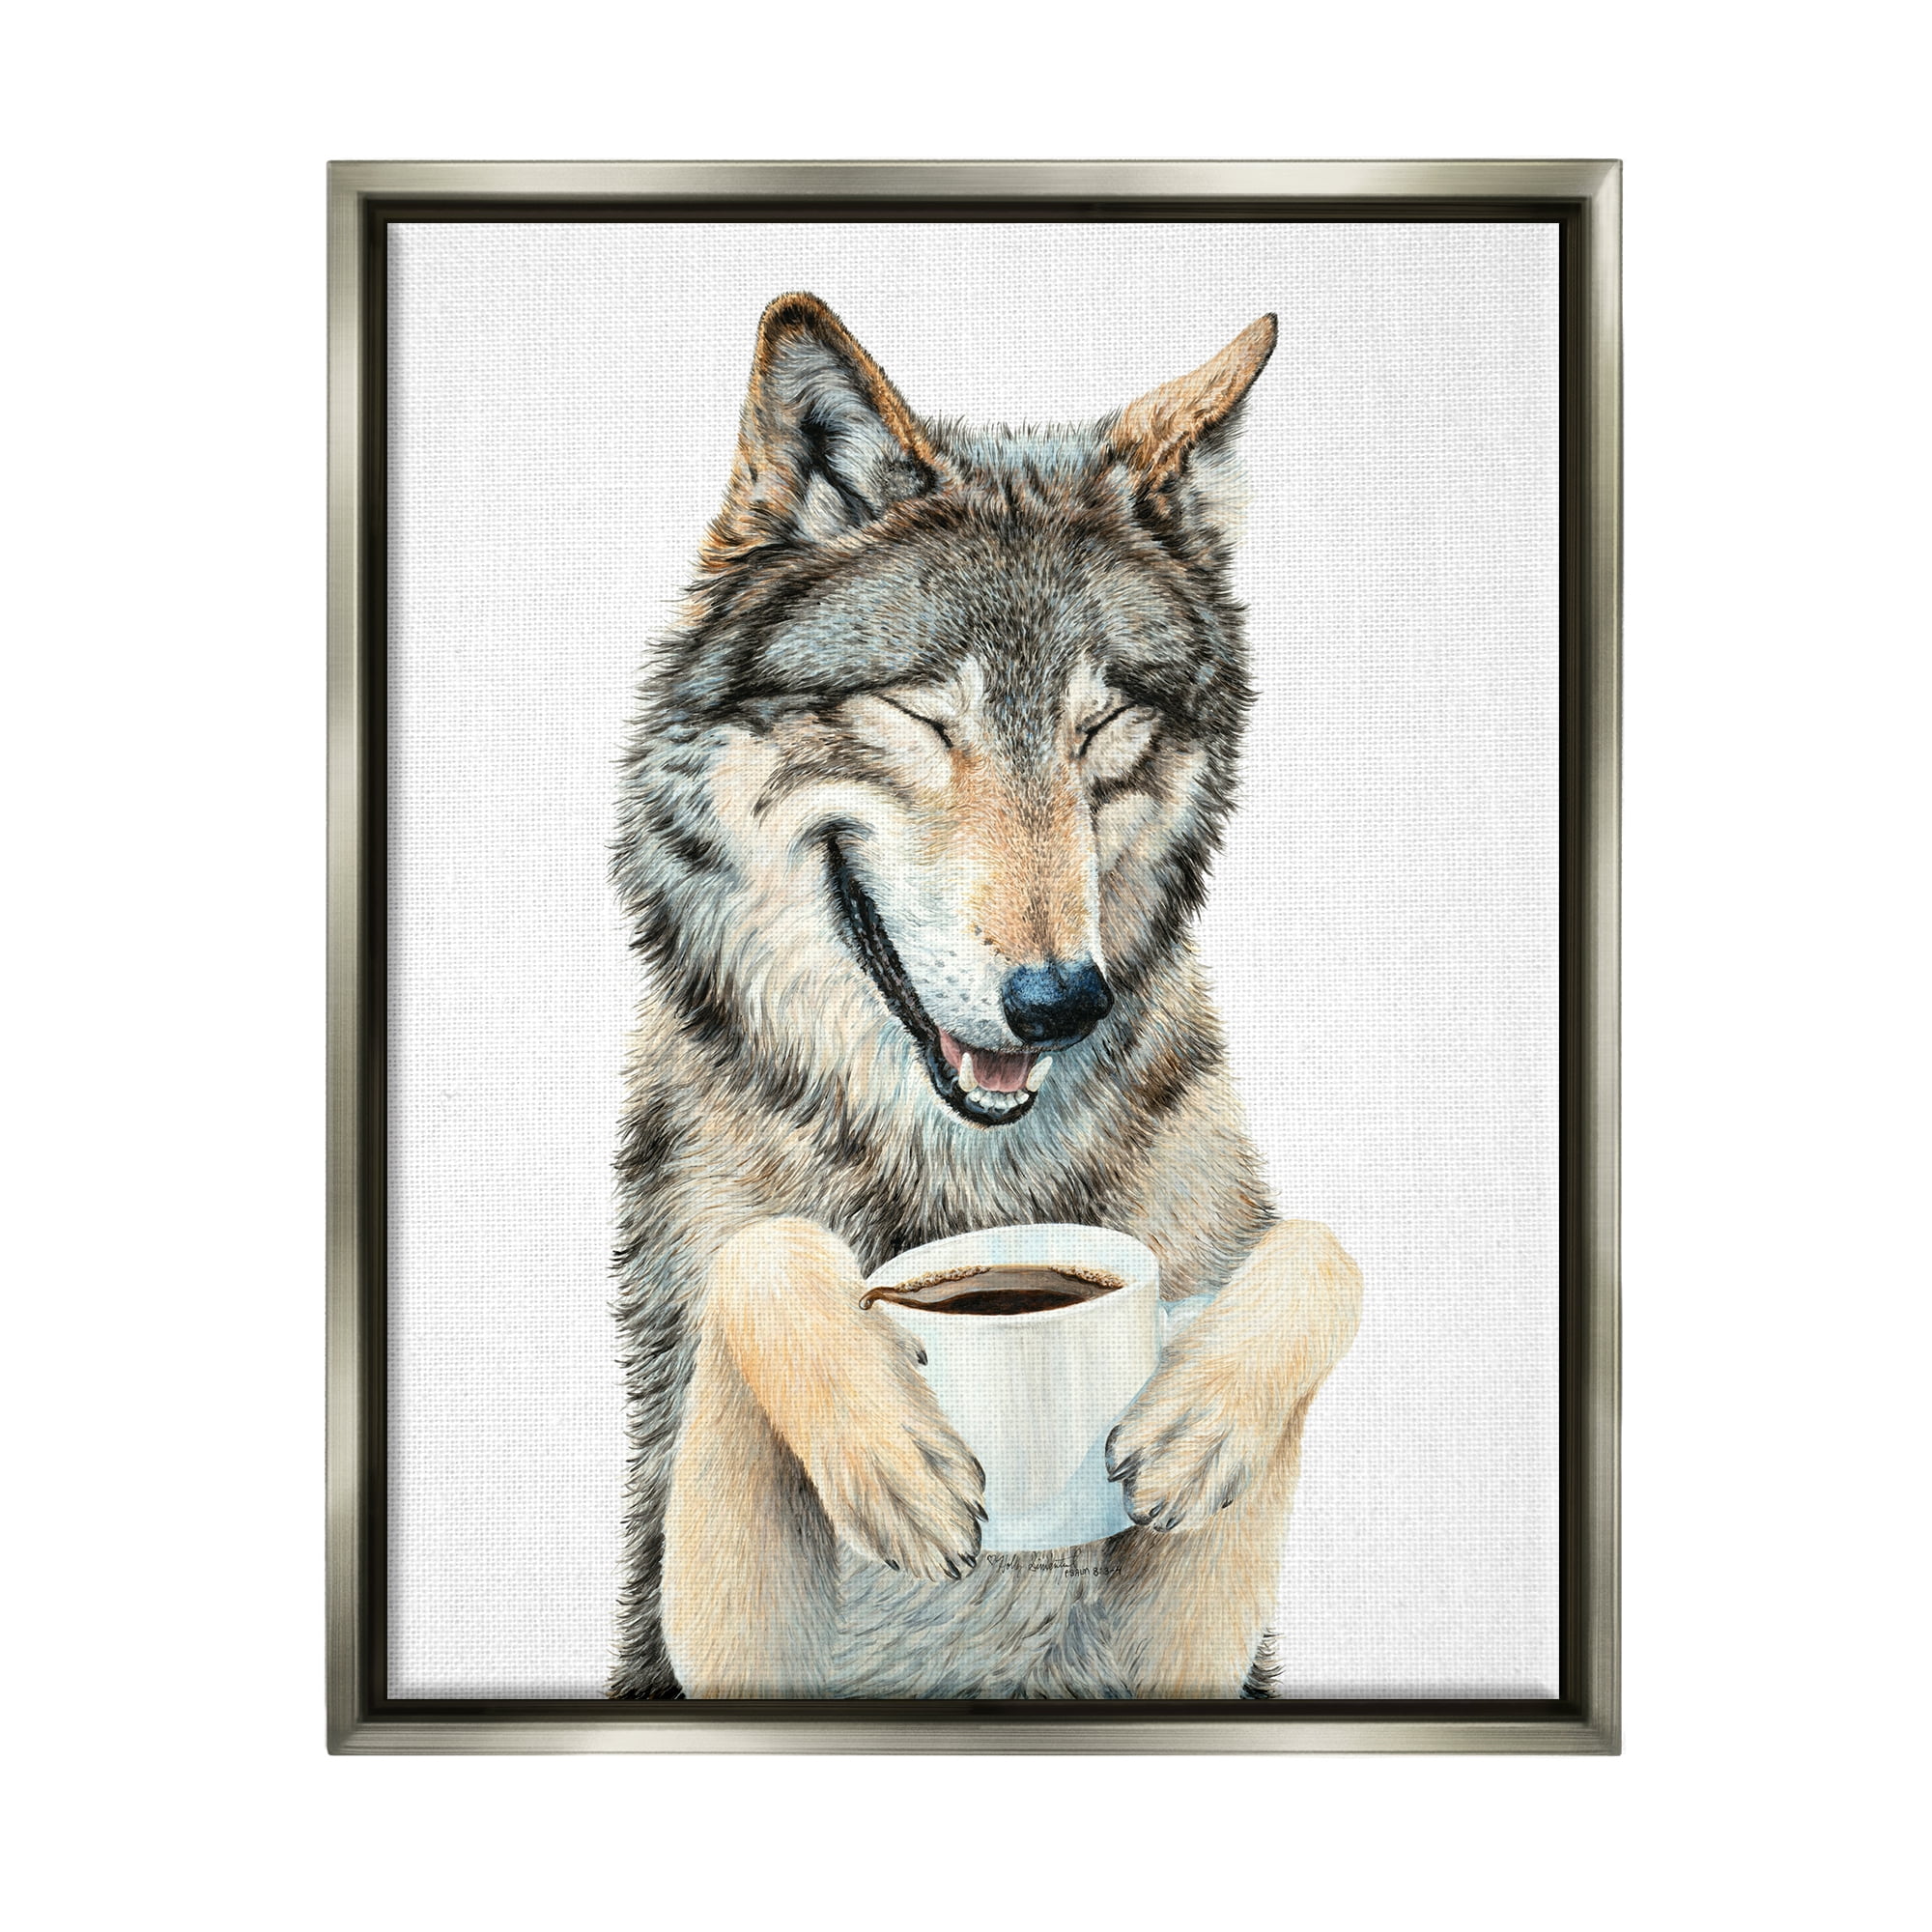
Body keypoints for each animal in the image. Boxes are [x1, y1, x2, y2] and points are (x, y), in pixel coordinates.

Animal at [608, 293, 1362, 1700]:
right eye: (922, 718)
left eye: (1100, 729)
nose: (1061, 1002)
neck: (968, 1181)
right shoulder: (705, 1619)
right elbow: (763, 1248)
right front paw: (889, 1450)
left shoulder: (1185, 1645)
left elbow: (1317, 1247)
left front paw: (1202, 1418)